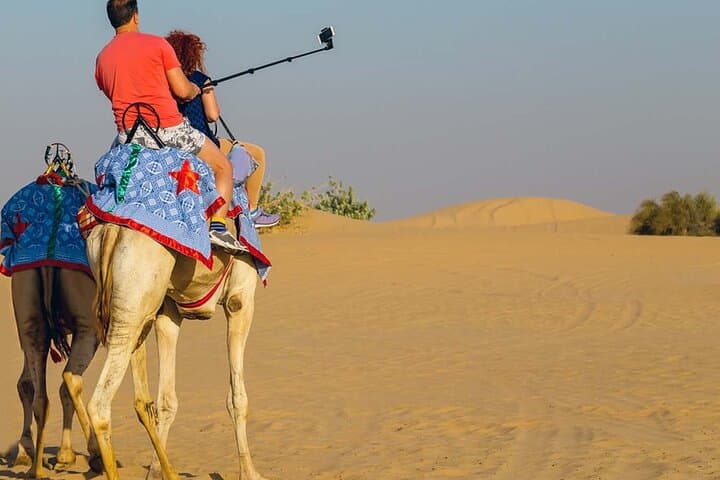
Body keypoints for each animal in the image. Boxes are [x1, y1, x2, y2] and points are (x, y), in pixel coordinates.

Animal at [10, 267, 99, 479]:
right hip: (88, 325)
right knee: (70, 381)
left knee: (33, 389)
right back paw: (95, 455)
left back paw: (32, 463)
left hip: (28, 317)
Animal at [67, 222, 268, 480]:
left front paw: (155, 471)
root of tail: (112, 231)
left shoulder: (169, 310)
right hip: (133, 308)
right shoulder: (240, 298)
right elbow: (237, 398)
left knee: (140, 398)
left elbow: (166, 400)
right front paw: (250, 473)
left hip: (132, 308)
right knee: (100, 404)